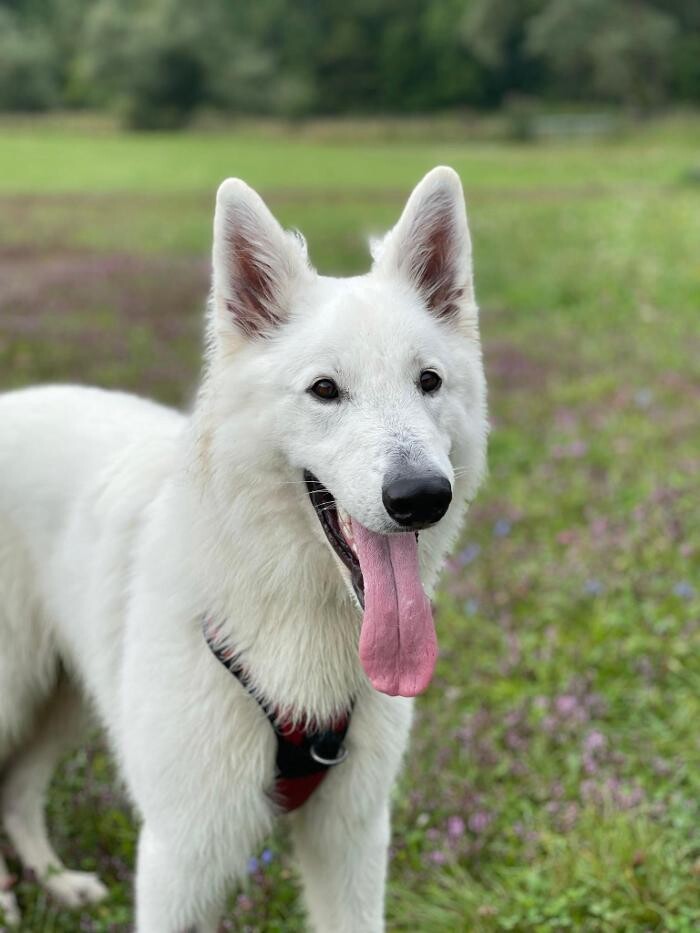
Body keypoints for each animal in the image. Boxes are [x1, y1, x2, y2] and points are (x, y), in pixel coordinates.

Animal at [0, 167, 490, 932]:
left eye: (429, 382)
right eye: (325, 390)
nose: (421, 496)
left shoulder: (351, 841)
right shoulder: (179, 855)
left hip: (63, 695)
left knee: (18, 790)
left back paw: (55, 880)